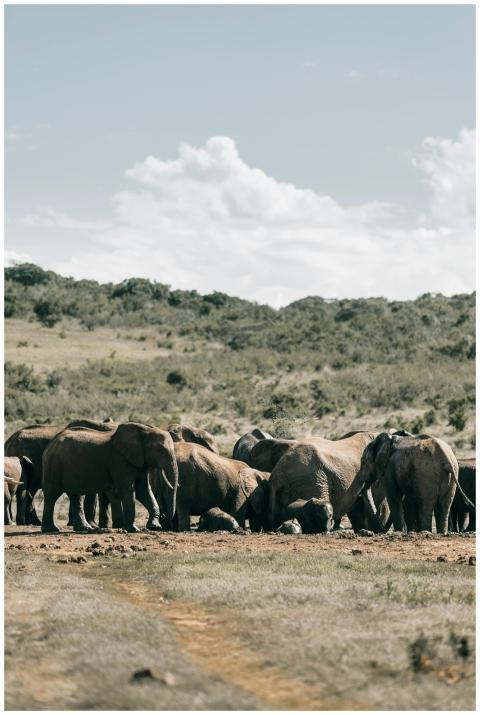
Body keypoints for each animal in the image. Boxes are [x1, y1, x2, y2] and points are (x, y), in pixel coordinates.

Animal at [41, 422, 178, 533]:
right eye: (160, 450)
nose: (166, 517)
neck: (146, 431)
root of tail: (50, 444)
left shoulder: (140, 462)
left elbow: (143, 490)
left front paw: (154, 527)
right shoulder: (120, 461)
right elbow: (129, 490)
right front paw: (134, 530)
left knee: (76, 496)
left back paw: (84, 528)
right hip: (53, 465)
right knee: (52, 495)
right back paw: (51, 530)